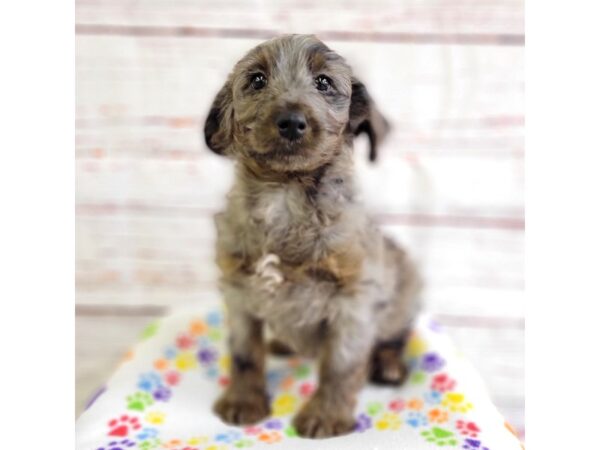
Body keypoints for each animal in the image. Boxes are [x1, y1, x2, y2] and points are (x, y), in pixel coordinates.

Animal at [204, 35, 420, 440]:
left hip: (404, 294)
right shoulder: (240, 293)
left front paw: (326, 415)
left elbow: (340, 365)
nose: (291, 122)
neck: (285, 194)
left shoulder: (354, 299)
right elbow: (244, 354)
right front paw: (243, 400)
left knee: (394, 337)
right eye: (256, 80)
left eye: (323, 82)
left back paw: (389, 365)